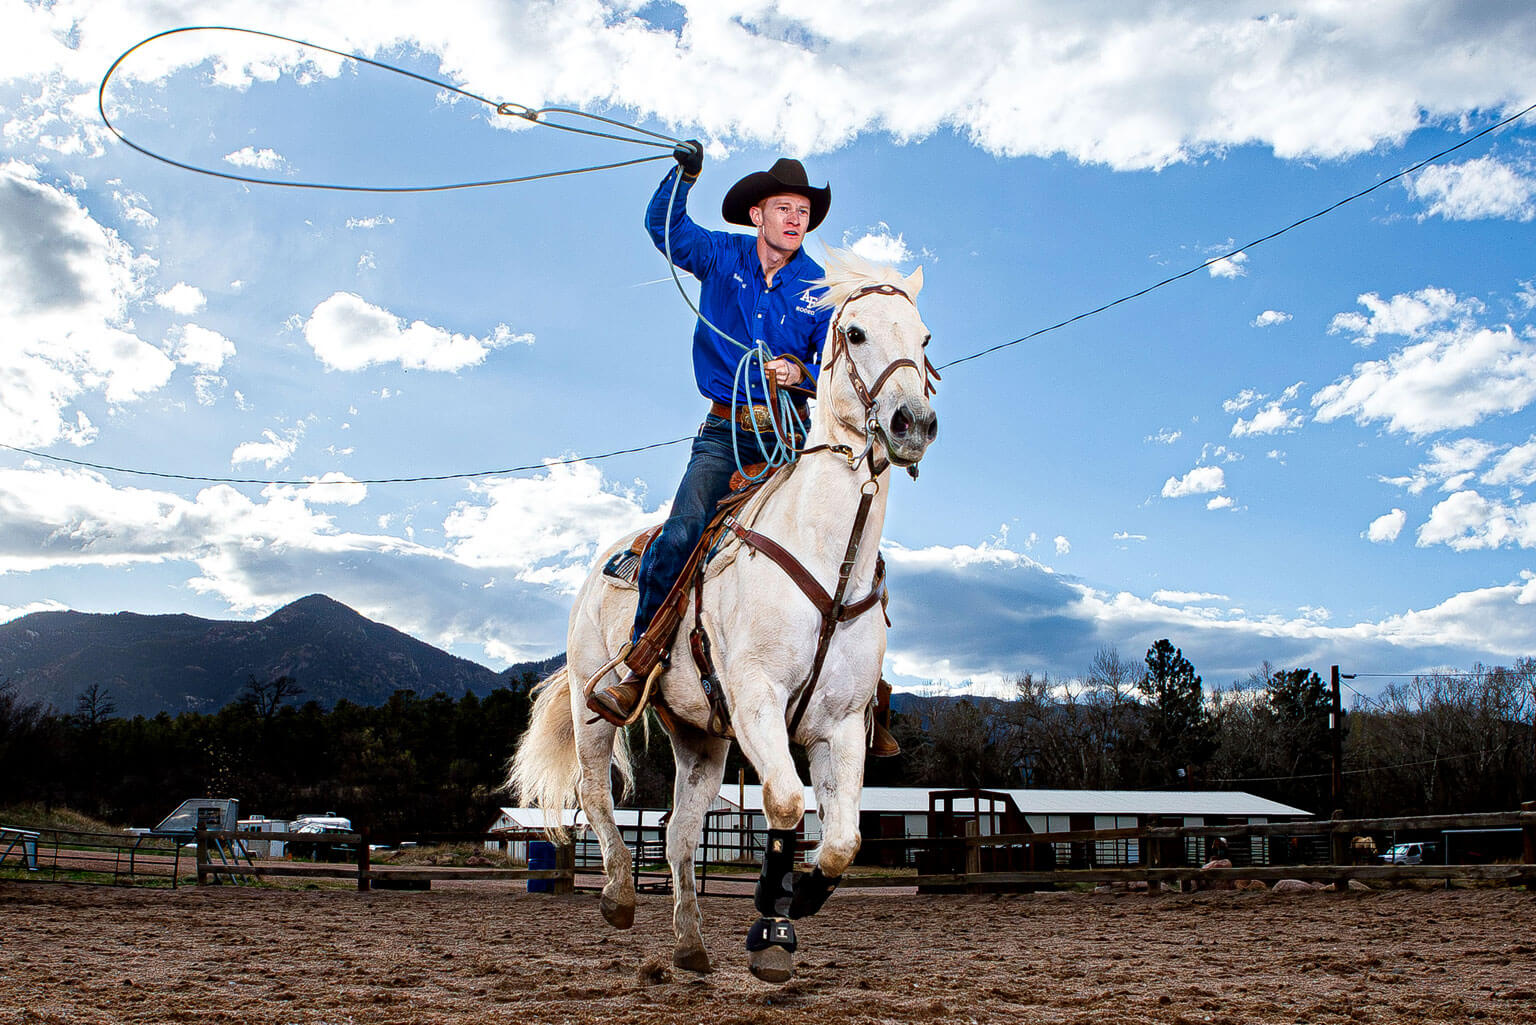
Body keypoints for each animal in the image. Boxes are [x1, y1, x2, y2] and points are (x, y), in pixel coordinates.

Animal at [509, 250, 933, 983]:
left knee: (680, 834)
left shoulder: (841, 722)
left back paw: (690, 943)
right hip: (596, 707)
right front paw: (771, 921)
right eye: (854, 332)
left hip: (700, 737)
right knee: (595, 792)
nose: (914, 421)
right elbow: (786, 802)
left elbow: (842, 837)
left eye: (925, 337)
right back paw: (619, 893)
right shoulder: (755, 696)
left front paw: (796, 905)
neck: (826, 554)